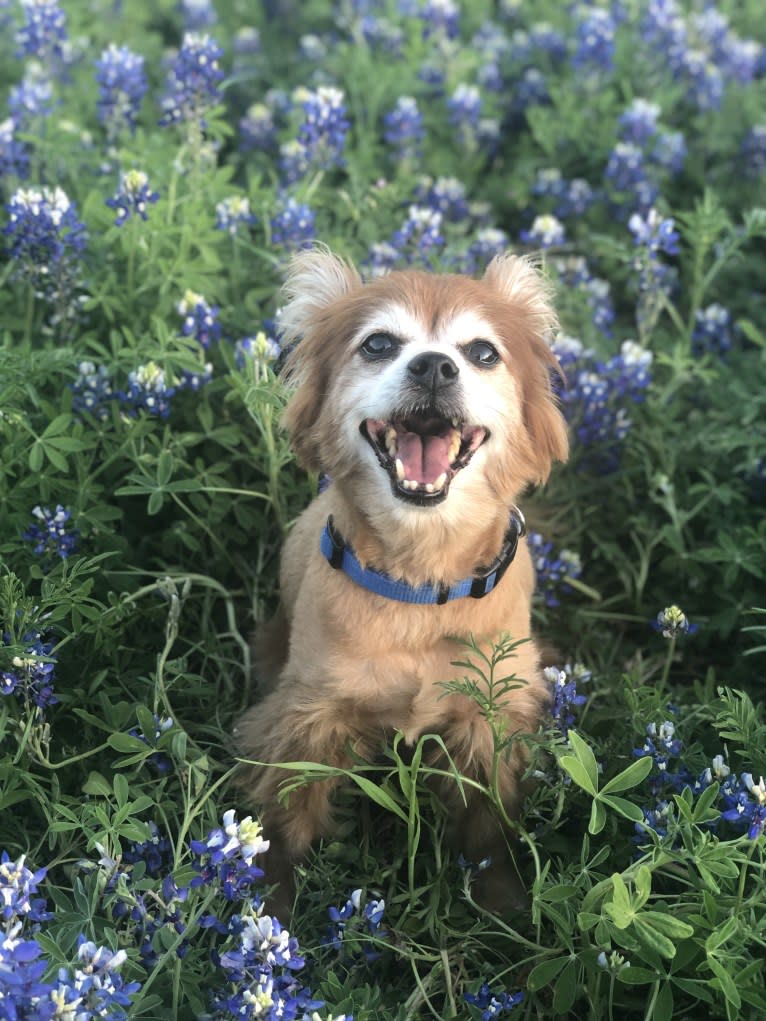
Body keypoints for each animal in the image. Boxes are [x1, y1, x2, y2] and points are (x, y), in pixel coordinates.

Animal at [235, 249, 571, 918]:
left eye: (483, 352)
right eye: (378, 344)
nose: (435, 366)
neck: (421, 581)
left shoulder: (491, 717)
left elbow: (489, 824)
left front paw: (503, 908)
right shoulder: (308, 715)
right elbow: (284, 820)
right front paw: (273, 909)